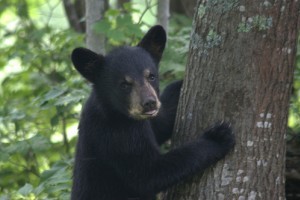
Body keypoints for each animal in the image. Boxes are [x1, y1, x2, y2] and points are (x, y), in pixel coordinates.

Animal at [70, 25, 234, 199]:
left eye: (151, 76)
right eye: (124, 84)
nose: (149, 103)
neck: (115, 111)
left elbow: (161, 123)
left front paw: (179, 85)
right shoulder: (116, 136)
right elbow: (149, 173)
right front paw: (217, 138)